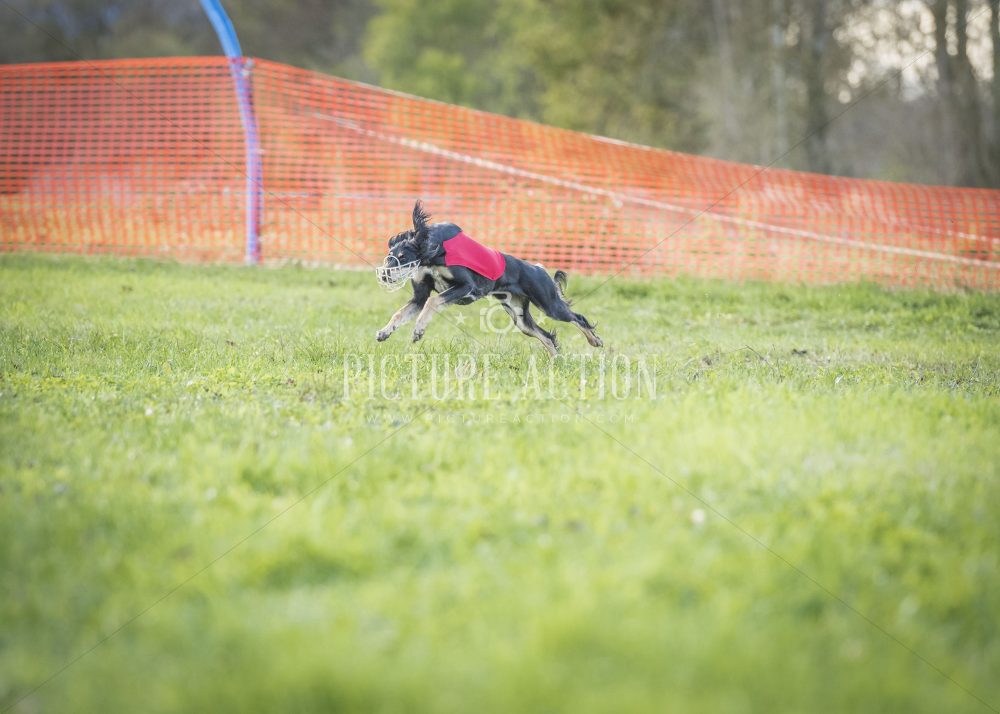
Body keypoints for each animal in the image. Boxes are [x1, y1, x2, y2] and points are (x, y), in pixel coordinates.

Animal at [375, 201, 603, 357]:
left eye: (403, 257)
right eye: (389, 256)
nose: (384, 275)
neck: (433, 252)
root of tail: (538, 268)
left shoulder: (466, 286)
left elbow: (432, 301)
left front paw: (418, 330)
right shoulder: (419, 297)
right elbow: (400, 313)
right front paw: (384, 332)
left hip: (549, 303)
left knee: (577, 318)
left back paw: (595, 341)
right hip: (520, 317)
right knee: (546, 336)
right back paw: (556, 361)